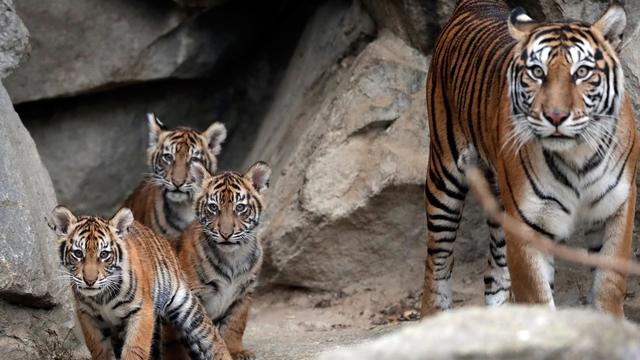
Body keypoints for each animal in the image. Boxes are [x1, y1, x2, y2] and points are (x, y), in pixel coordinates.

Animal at [50, 205, 231, 360]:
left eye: (104, 254)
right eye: (78, 253)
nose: (90, 280)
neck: (101, 296)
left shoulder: (141, 311)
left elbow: (134, 349)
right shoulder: (88, 316)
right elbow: (100, 350)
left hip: (186, 307)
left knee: (212, 339)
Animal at [422, 0, 636, 316]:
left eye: (582, 72)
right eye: (537, 71)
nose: (556, 116)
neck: (577, 155)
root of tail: (477, 3)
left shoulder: (615, 210)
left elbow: (608, 286)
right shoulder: (528, 225)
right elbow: (538, 297)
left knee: (495, 270)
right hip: (444, 176)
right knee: (437, 262)